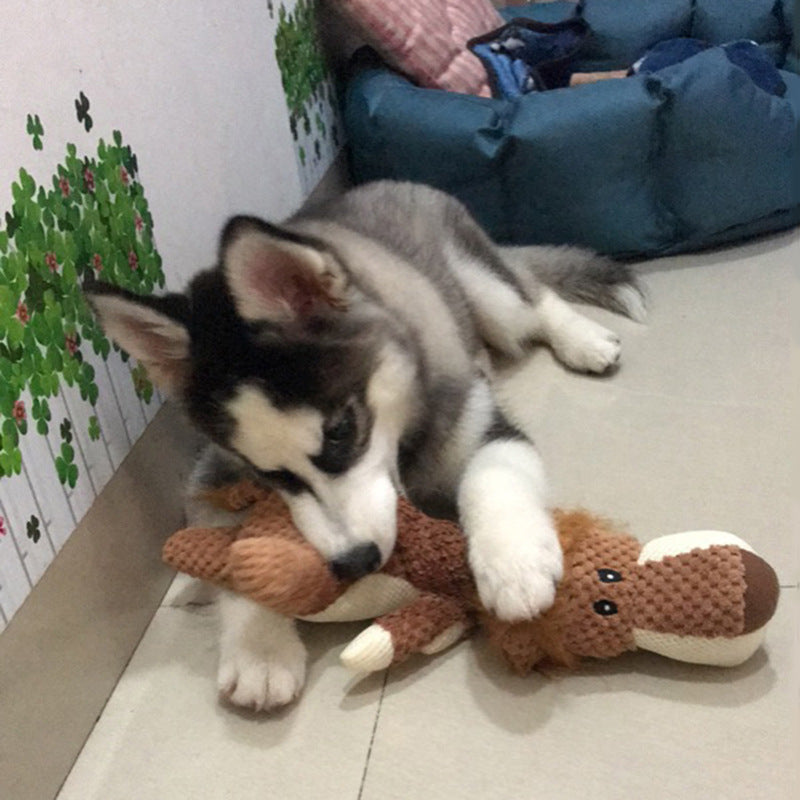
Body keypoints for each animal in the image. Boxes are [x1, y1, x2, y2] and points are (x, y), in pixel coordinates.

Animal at [87, 183, 644, 712]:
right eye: (269, 474)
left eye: (340, 431)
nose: (355, 562)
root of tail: (372, 187)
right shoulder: (213, 476)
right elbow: (232, 549)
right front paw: (259, 651)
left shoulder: (479, 422)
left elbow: (494, 478)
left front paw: (514, 565)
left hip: (487, 289)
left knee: (530, 294)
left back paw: (583, 339)